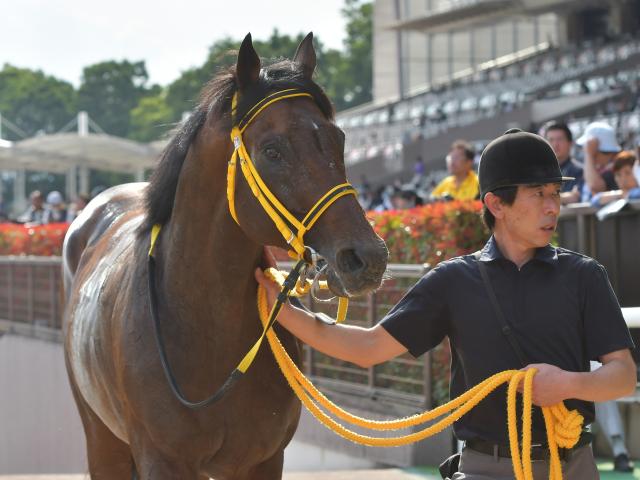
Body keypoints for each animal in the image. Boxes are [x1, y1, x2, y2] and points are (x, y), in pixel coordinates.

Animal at [62, 31, 388, 478]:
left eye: (338, 139)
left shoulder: (263, 458)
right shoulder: (160, 458)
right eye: (272, 150)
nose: (367, 257)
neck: (209, 331)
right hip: (101, 437)